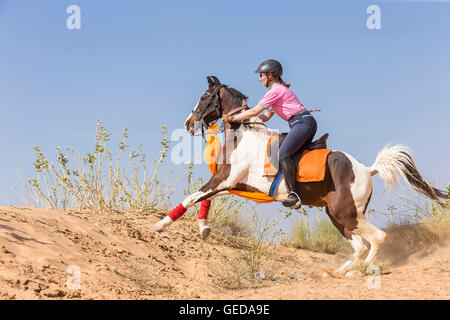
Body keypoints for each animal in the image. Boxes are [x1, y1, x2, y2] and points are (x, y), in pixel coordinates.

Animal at [154, 76, 446, 276]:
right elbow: (205, 198)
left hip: (346, 213)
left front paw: (160, 225)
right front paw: (203, 228)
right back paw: (338, 273)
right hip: (339, 215)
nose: (188, 124)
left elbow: (192, 197)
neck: (244, 134)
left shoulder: (225, 180)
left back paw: (359, 272)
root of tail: (367, 168)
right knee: (359, 246)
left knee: (377, 239)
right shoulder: (232, 183)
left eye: (205, 97)